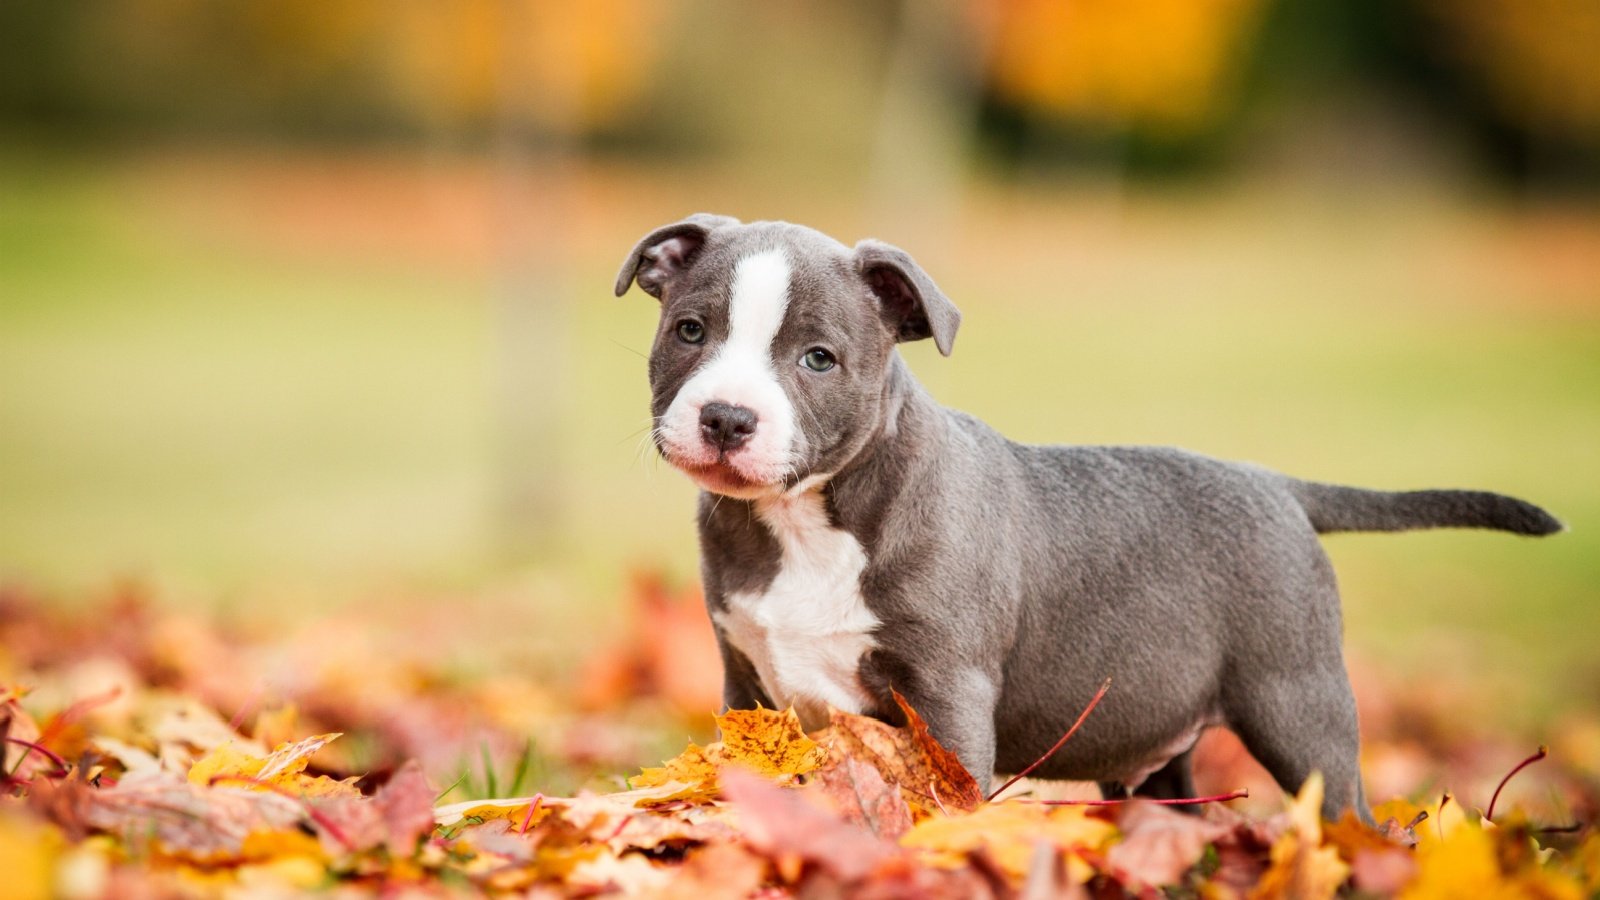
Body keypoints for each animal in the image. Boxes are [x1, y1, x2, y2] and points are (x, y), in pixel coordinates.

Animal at [611, 212, 1561, 816]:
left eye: (818, 359)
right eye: (690, 330)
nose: (726, 418)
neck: (809, 521)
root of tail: (1278, 485)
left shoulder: (948, 695)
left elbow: (943, 808)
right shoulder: (746, 686)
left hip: (1299, 702)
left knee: (1346, 813)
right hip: (1166, 749)